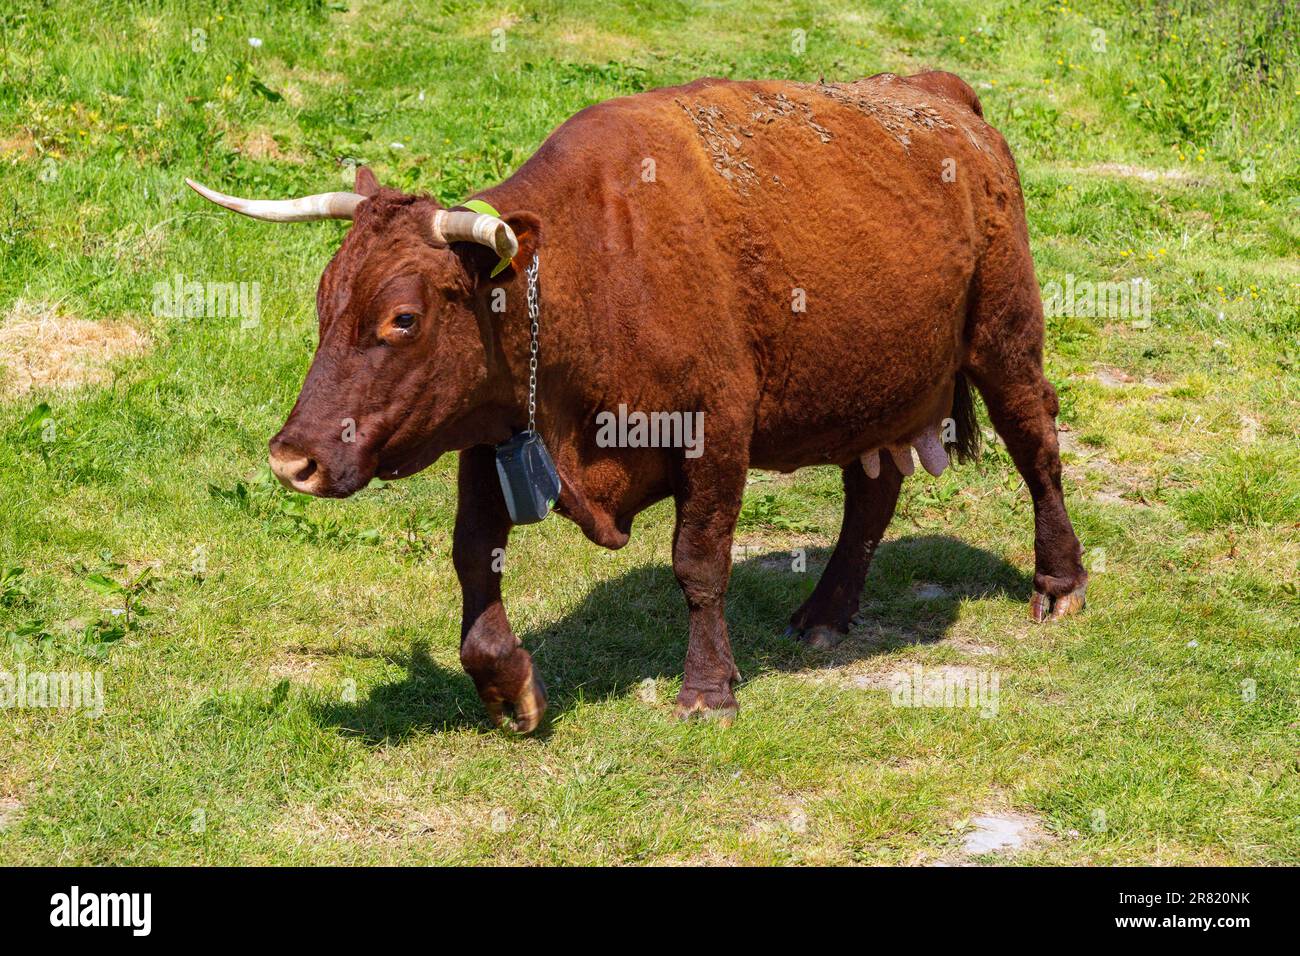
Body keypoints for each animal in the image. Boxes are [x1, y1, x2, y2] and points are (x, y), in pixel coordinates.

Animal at [189, 71, 1088, 733]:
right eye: (324, 298)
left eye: (402, 318)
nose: (292, 459)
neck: (592, 270)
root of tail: (939, 94)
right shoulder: (494, 433)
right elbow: (473, 555)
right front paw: (507, 686)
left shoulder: (715, 429)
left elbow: (699, 562)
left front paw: (708, 689)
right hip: (871, 383)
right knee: (873, 489)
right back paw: (827, 610)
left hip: (1004, 337)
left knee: (1036, 442)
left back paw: (1060, 580)